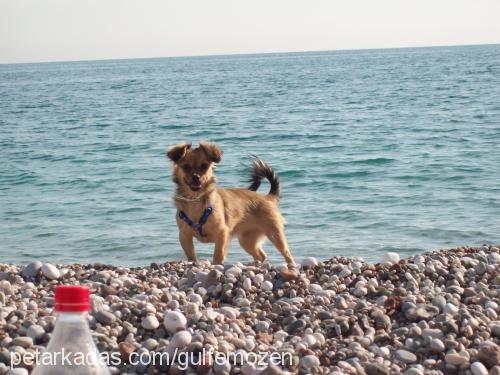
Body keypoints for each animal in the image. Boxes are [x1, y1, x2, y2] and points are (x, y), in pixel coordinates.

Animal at [166, 141, 294, 268]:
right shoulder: (184, 236)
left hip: (275, 235)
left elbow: (218, 254)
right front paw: (193, 264)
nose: (196, 177)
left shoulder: (222, 233)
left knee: (287, 254)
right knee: (261, 255)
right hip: (247, 240)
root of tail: (267, 197)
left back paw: (291, 266)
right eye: (186, 167)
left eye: (204, 166)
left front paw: (216, 265)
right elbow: (191, 255)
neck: (195, 200)